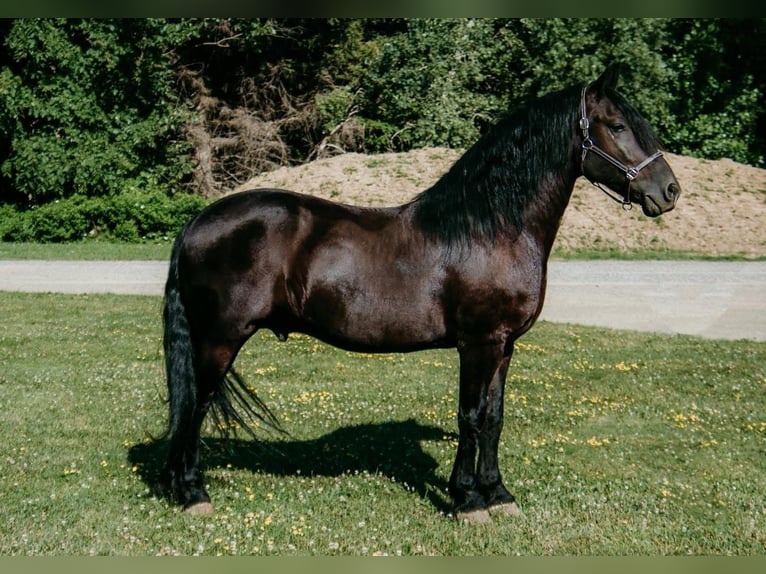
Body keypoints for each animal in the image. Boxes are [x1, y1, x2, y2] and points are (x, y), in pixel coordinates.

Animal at [160, 65, 680, 522]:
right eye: (617, 125)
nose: (670, 191)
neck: (491, 228)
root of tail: (198, 221)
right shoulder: (477, 343)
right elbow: (471, 416)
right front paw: (468, 501)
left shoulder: (504, 346)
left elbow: (494, 417)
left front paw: (499, 495)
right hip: (219, 339)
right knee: (195, 404)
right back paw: (193, 493)